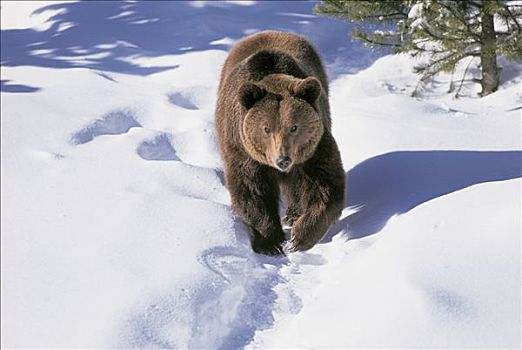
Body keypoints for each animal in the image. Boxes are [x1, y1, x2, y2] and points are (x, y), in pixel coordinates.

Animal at [213, 30, 344, 254]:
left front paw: (299, 237)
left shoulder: (313, 148)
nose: (283, 160)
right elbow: (252, 190)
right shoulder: (243, 150)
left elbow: (325, 186)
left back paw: (292, 214)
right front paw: (270, 241)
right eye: (266, 128)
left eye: (294, 127)